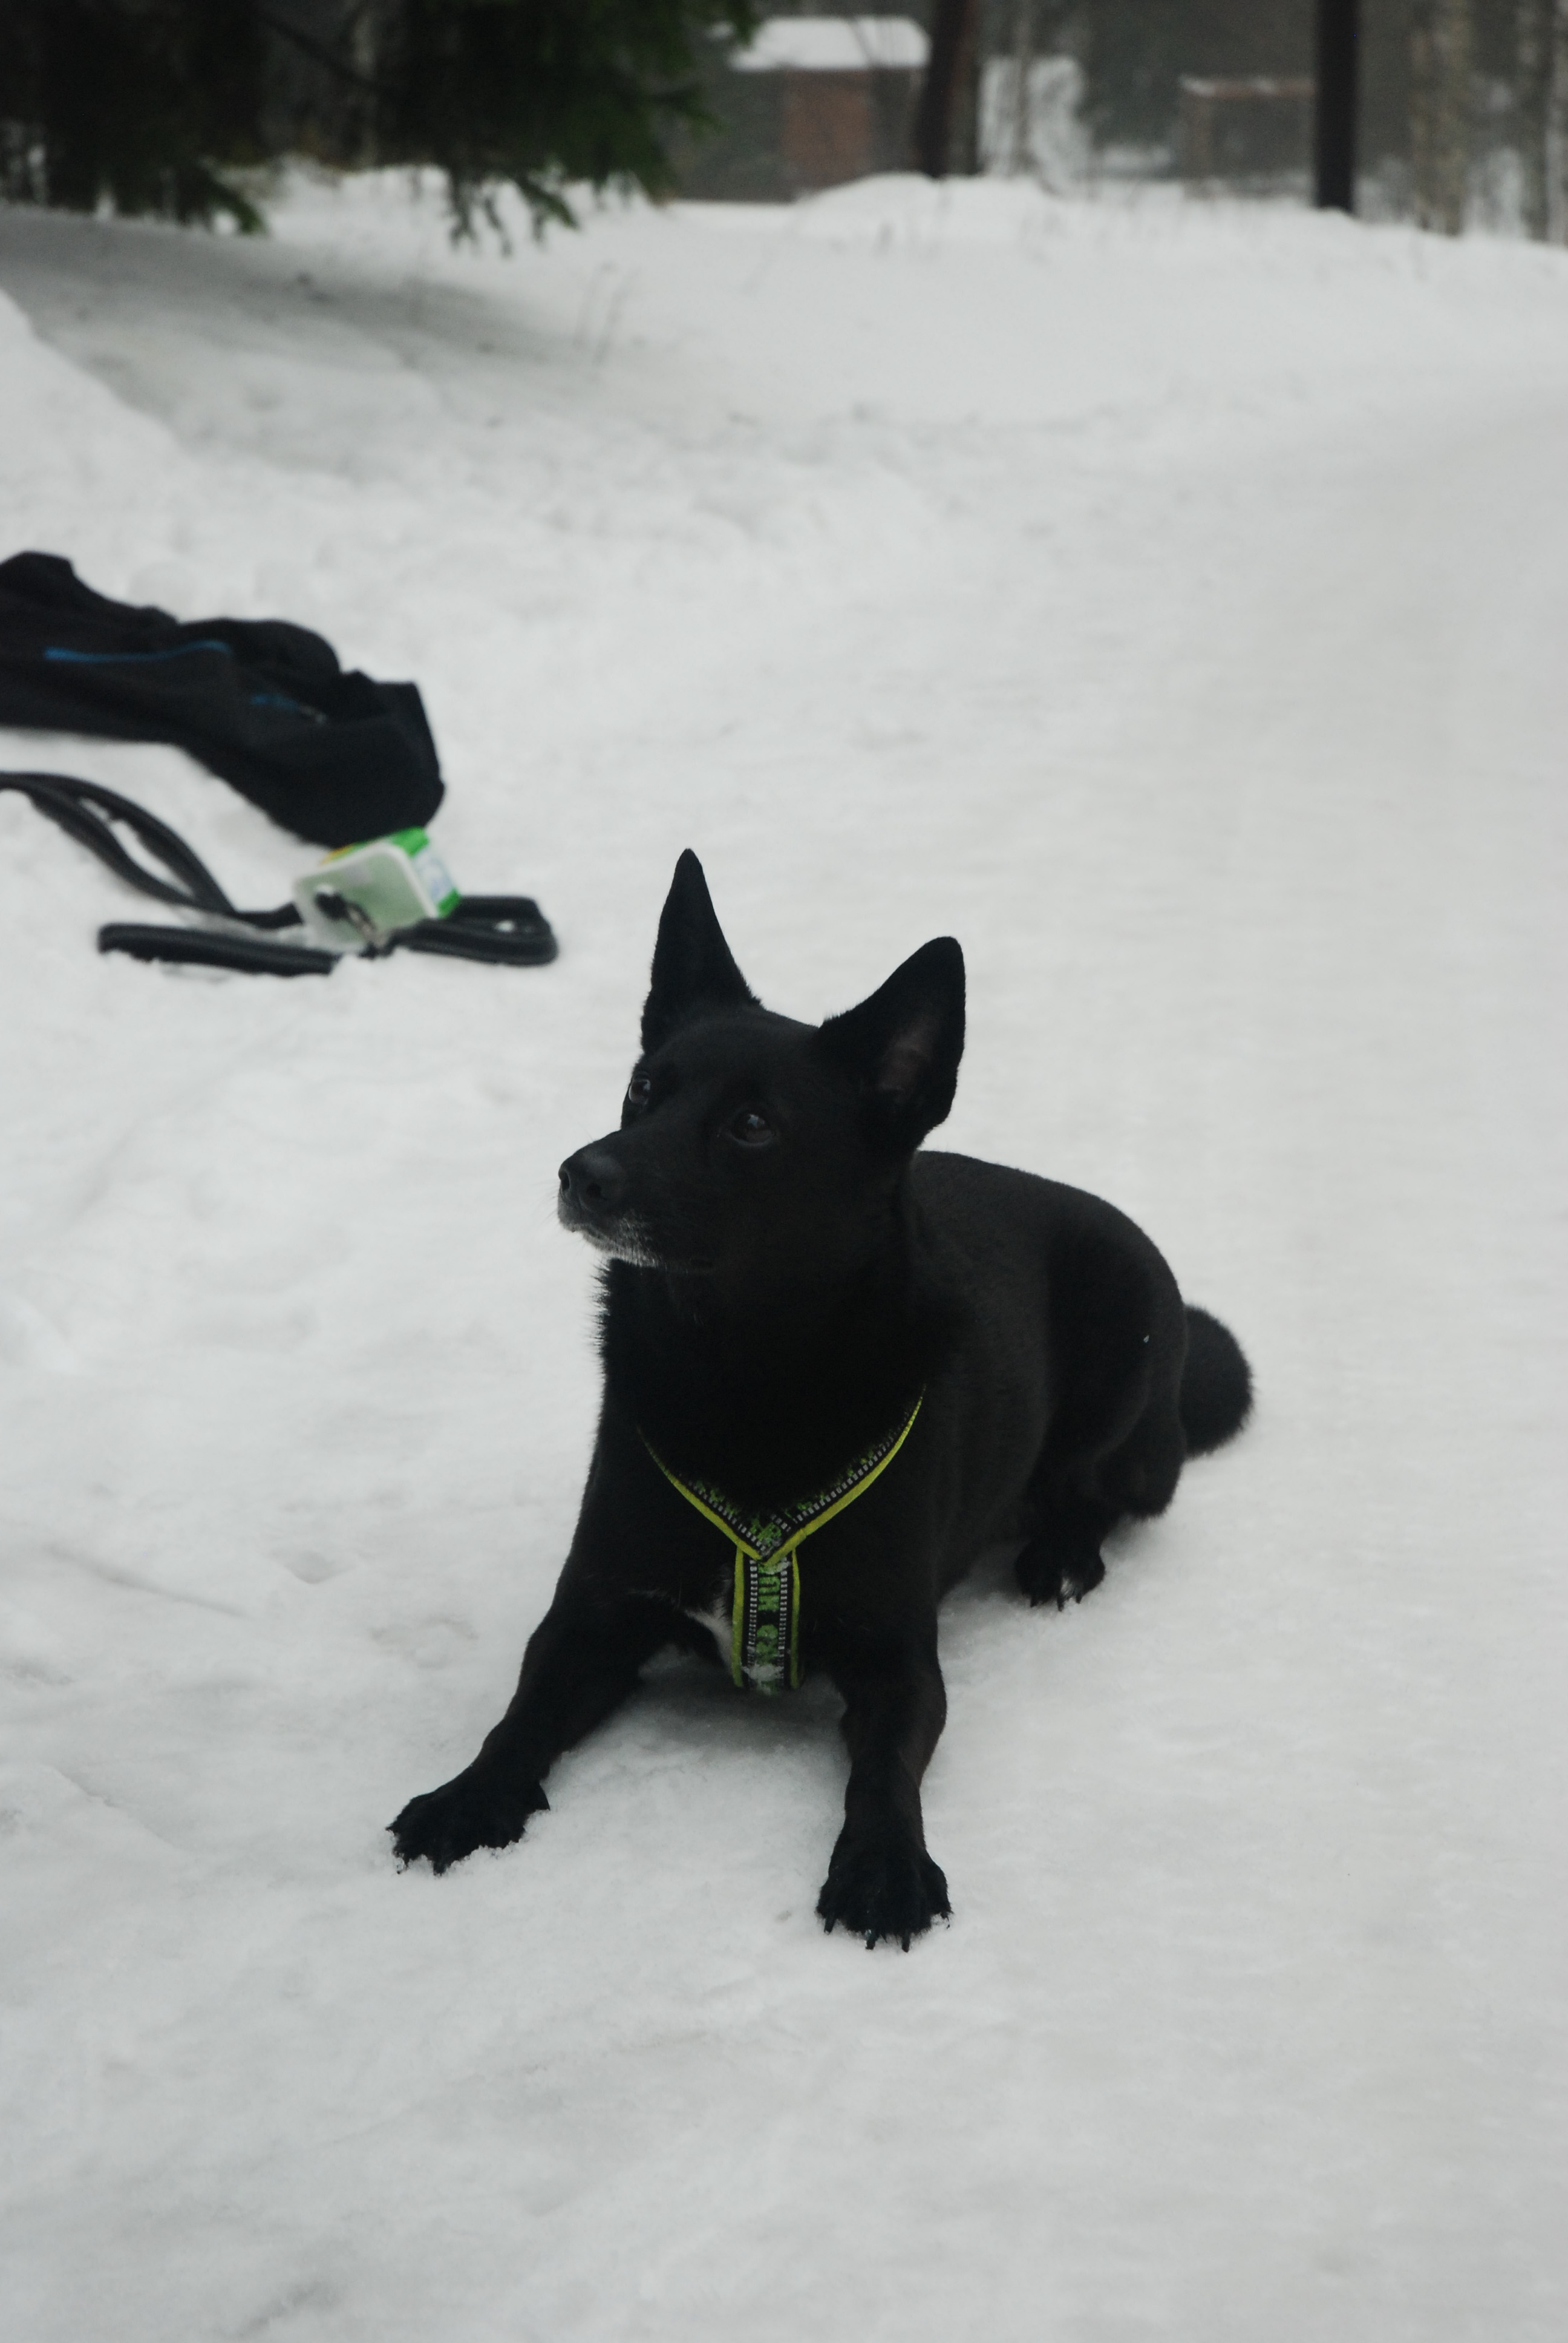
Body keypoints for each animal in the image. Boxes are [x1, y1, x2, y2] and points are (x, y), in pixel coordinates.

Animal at [390, 851, 1252, 1946]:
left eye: (753, 1124)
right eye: (643, 1087)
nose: (580, 1173)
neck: (742, 1371)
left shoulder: (899, 1658)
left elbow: (885, 1771)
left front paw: (885, 1864)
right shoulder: (591, 1613)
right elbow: (521, 1715)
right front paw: (469, 1796)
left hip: (1125, 1376)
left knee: (1106, 1491)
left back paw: (1061, 1555)